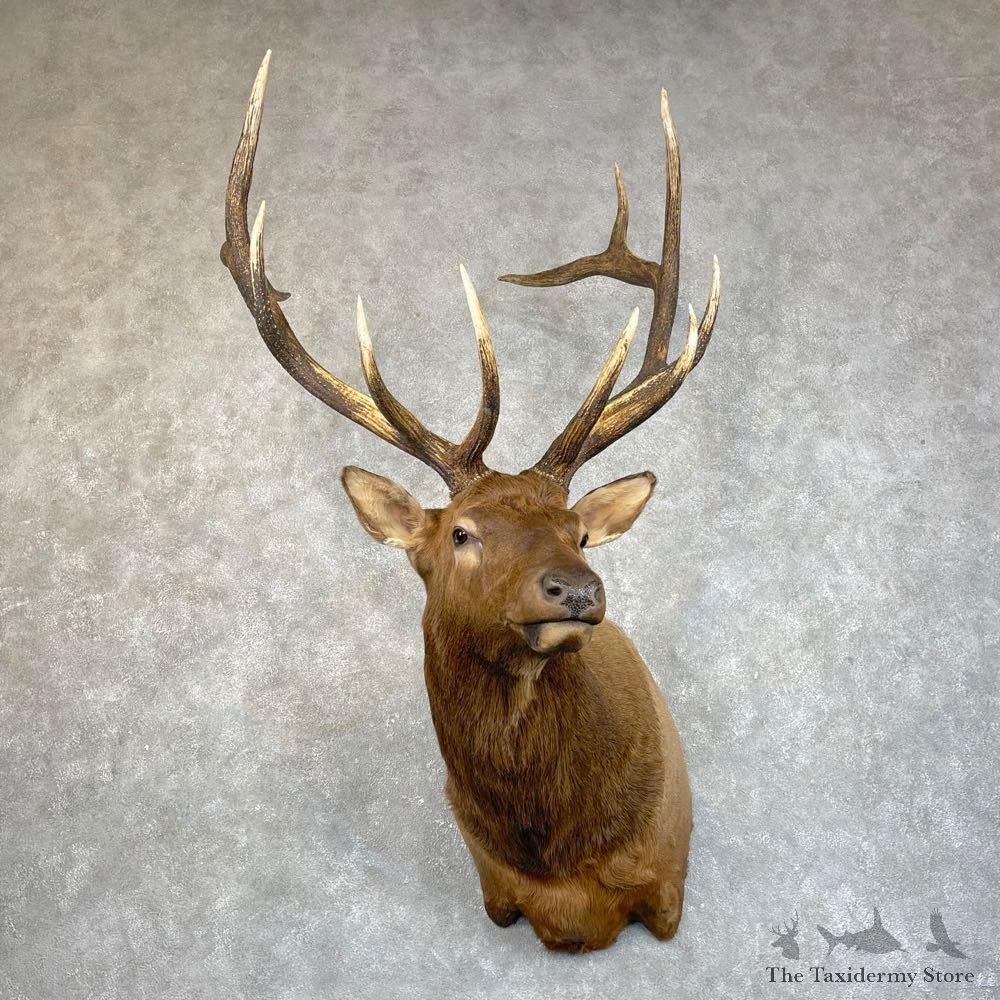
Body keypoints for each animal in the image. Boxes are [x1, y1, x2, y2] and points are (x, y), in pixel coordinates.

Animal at [221, 51, 720, 953]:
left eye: (579, 533)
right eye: (461, 532)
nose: (576, 590)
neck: (560, 860)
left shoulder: (667, 881)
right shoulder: (493, 888)